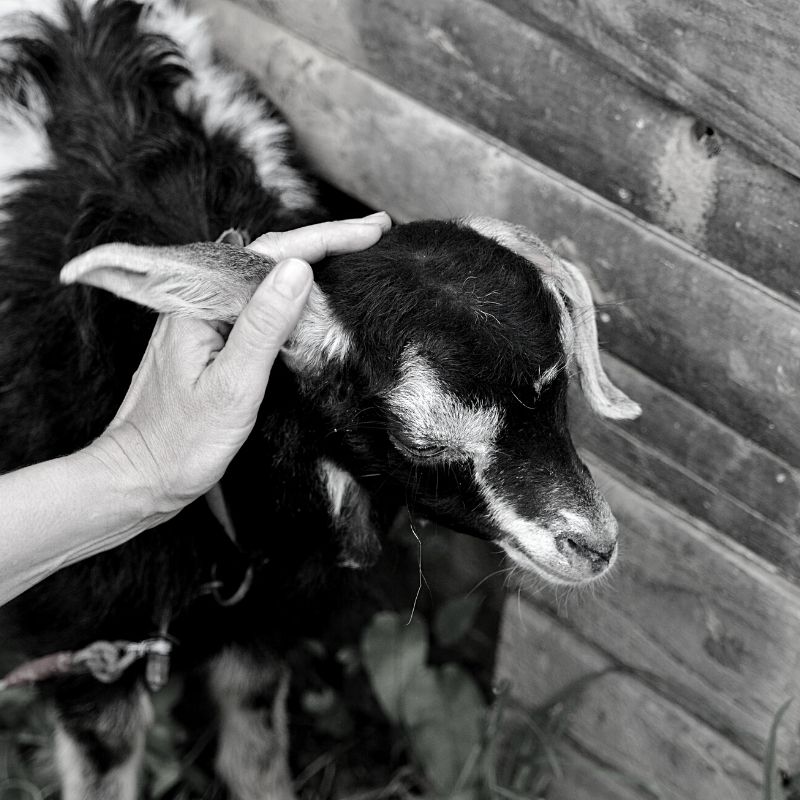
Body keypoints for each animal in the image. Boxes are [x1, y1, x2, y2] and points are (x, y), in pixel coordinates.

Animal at [0, 1, 636, 800]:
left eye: (560, 392)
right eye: (421, 440)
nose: (594, 546)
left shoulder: (267, 617)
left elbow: (256, 749)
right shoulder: (92, 644)